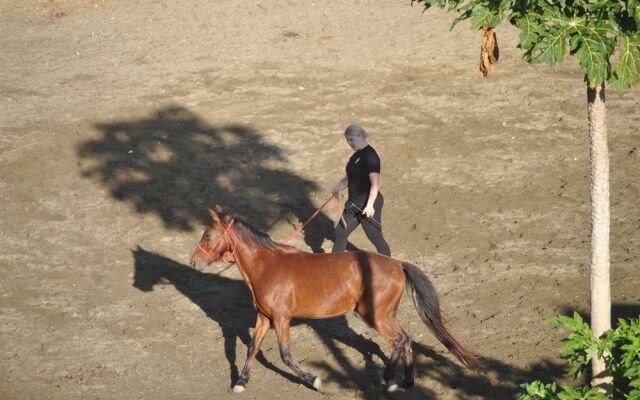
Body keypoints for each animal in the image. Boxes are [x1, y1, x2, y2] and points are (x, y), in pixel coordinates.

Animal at [190, 205, 480, 392]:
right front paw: (240, 382)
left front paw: (313, 380)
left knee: (398, 340)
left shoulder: (282, 319)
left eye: (207, 234)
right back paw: (406, 381)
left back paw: (389, 379)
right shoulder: (264, 317)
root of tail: (398, 264)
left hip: (375, 316)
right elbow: (252, 348)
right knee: (406, 339)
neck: (267, 266)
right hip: (386, 314)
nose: (194, 262)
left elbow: (285, 356)